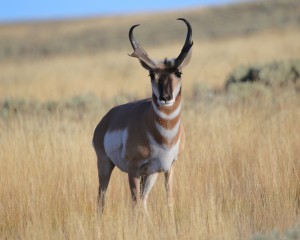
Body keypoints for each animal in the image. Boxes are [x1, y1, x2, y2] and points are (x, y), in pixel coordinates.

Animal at [92, 18, 193, 212]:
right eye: (151, 74)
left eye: (179, 72)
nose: (165, 98)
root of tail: (106, 119)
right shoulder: (133, 170)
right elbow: (135, 203)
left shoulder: (169, 167)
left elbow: (169, 200)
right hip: (105, 164)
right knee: (102, 197)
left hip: (151, 174)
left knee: (144, 199)